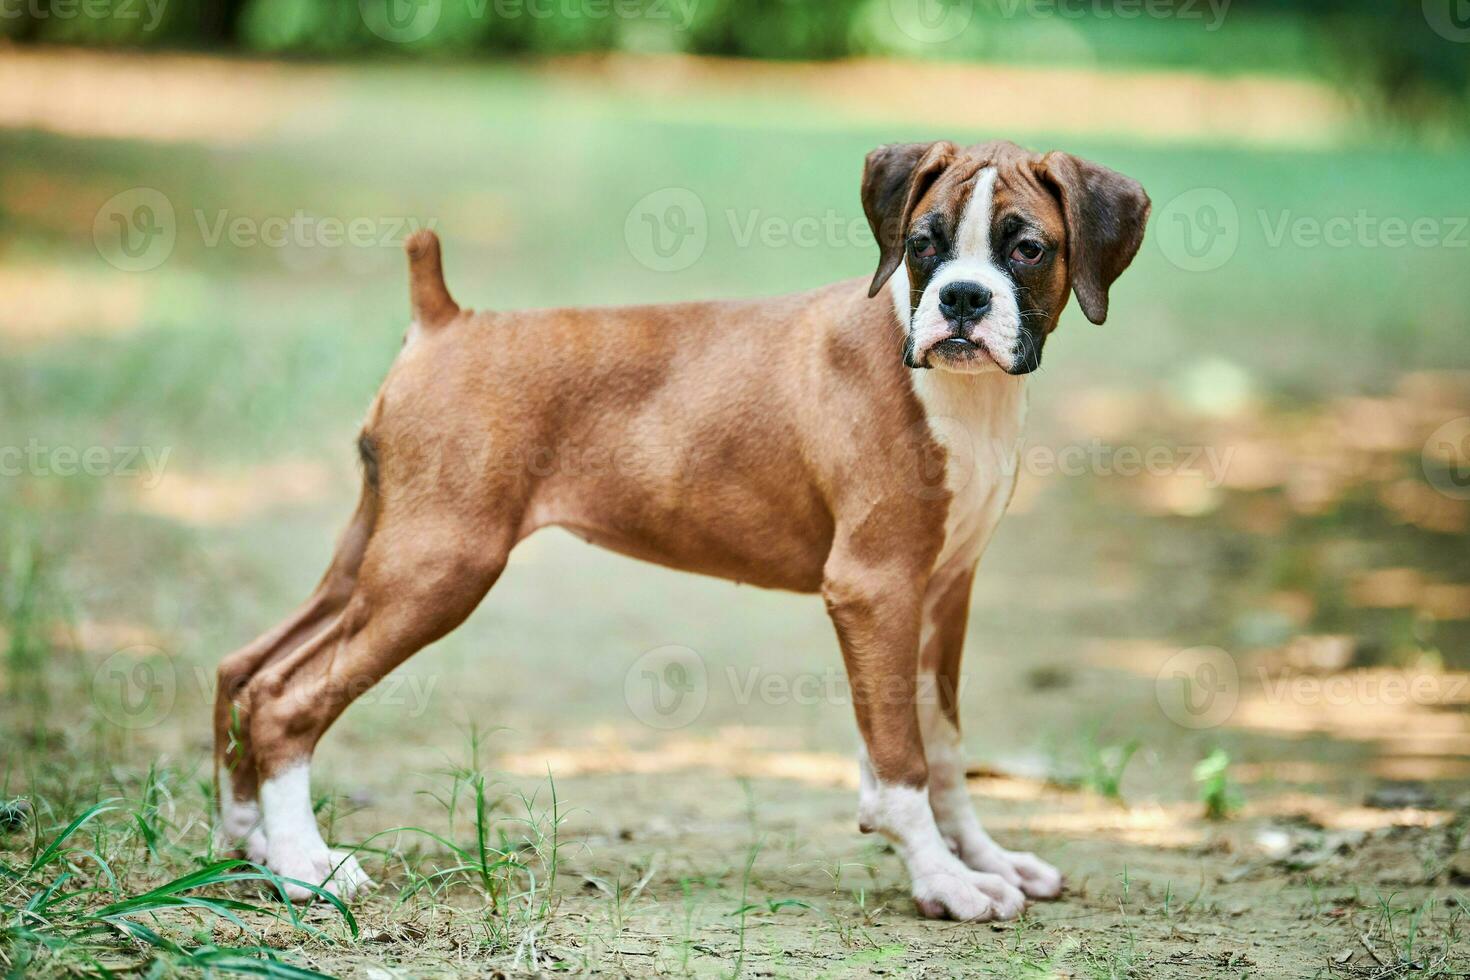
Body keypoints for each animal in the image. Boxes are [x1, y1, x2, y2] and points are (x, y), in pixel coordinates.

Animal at [214, 138, 1146, 922]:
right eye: (923, 244)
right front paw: (944, 881)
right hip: (438, 568)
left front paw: (985, 859)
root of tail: (446, 318)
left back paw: (249, 840)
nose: (960, 297)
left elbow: (945, 745)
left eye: (1027, 249)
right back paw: (307, 866)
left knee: (247, 671)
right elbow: (902, 761)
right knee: (288, 699)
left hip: (374, 560)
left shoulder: (945, 591)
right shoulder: (876, 590)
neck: (956, 393)